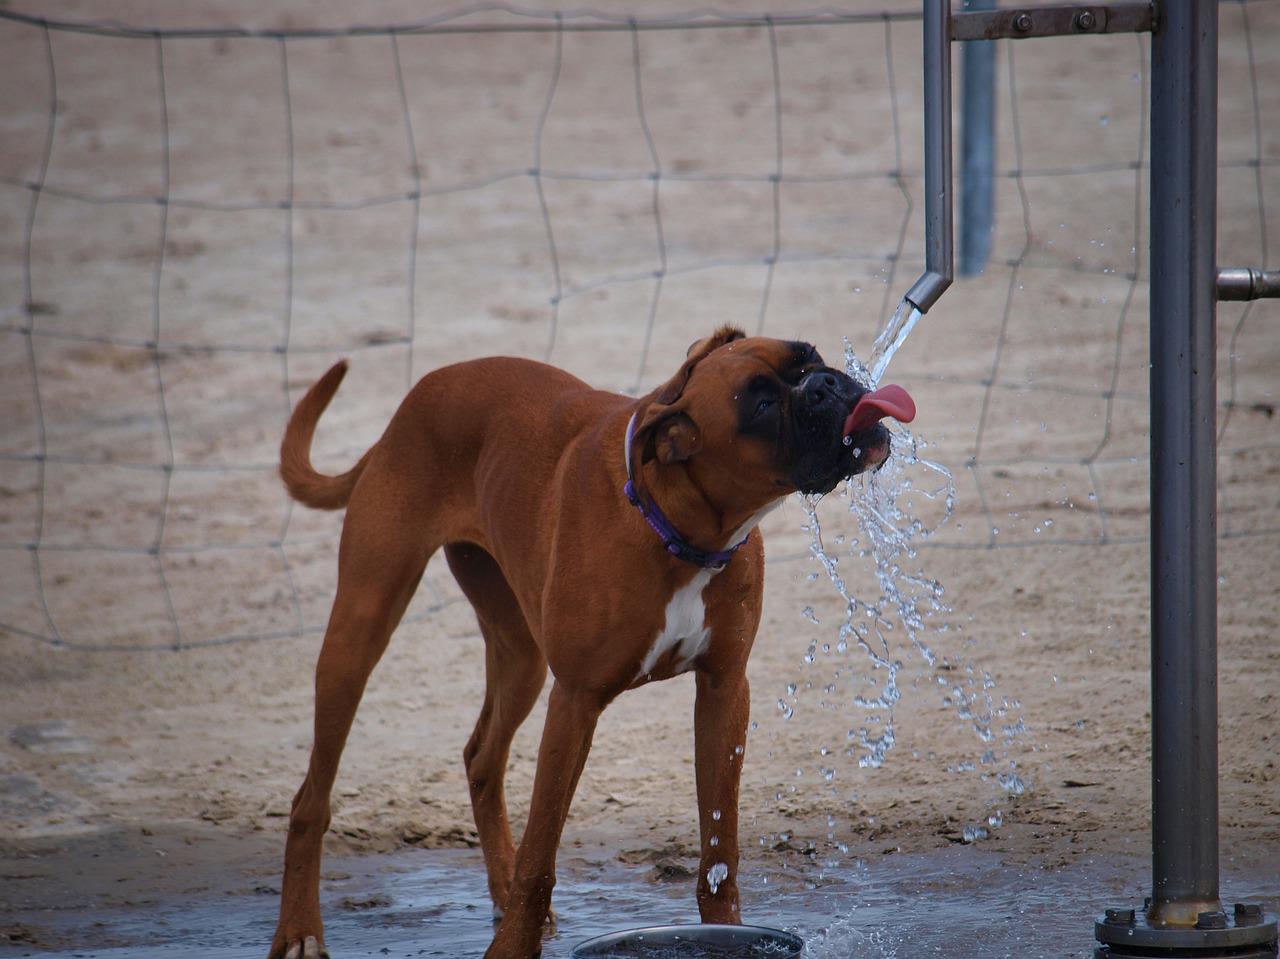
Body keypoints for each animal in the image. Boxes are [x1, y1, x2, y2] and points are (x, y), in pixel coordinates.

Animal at [270, 323, 916, 957]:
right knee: (310, 799)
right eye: (758, 405)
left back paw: (497, 891)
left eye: (809, 356)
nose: (825, 384)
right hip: (360, 630)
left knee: (482, 757)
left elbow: (719, 847)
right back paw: (299, 929)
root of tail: (414, 399)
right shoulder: (575, 704)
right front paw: (513, 947)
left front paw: (726, 931)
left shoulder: (724, 690)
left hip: (520, 656)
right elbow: (542, 855)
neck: (679, 526)